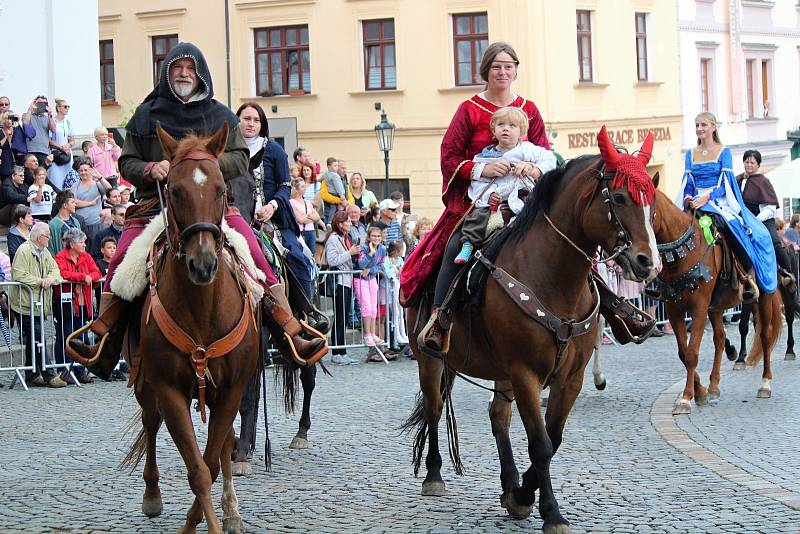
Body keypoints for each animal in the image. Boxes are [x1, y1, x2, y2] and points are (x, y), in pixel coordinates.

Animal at [122, 123, 260, 534]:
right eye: (175, 190)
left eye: (220, 190)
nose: (203, 264)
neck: (202, 310)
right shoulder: (168, 392)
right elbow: (198, 470)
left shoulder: (232, 389)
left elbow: (212, 462)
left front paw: (215, 516)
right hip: (145, 384)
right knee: (150, 423)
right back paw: (152, 495)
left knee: (225, 446)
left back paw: (231, 510)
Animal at [404, 127, 660, 532]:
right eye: (619, 197)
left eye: (652, 202)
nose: (648, 263)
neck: (552, 277)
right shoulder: (525, 373)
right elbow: (540, 443)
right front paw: (550, 512)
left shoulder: (569, 377)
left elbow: (552, 439)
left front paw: (523, 494)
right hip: (430, 360)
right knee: (433, 407)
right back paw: (433, 475)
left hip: (500, 371)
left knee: (498, 417)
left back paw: (509, 484)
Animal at [648, 191, 780, 416]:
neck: (683, 254)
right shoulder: (674, 311)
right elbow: (683, 352)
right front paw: (699, 392)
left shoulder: (698, 309)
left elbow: (691, 354)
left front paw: (686, 399)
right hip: (717, 308)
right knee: (719, 338)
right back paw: (714, 386)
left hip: (764, 297)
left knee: (765, 336)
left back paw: (765, 384)